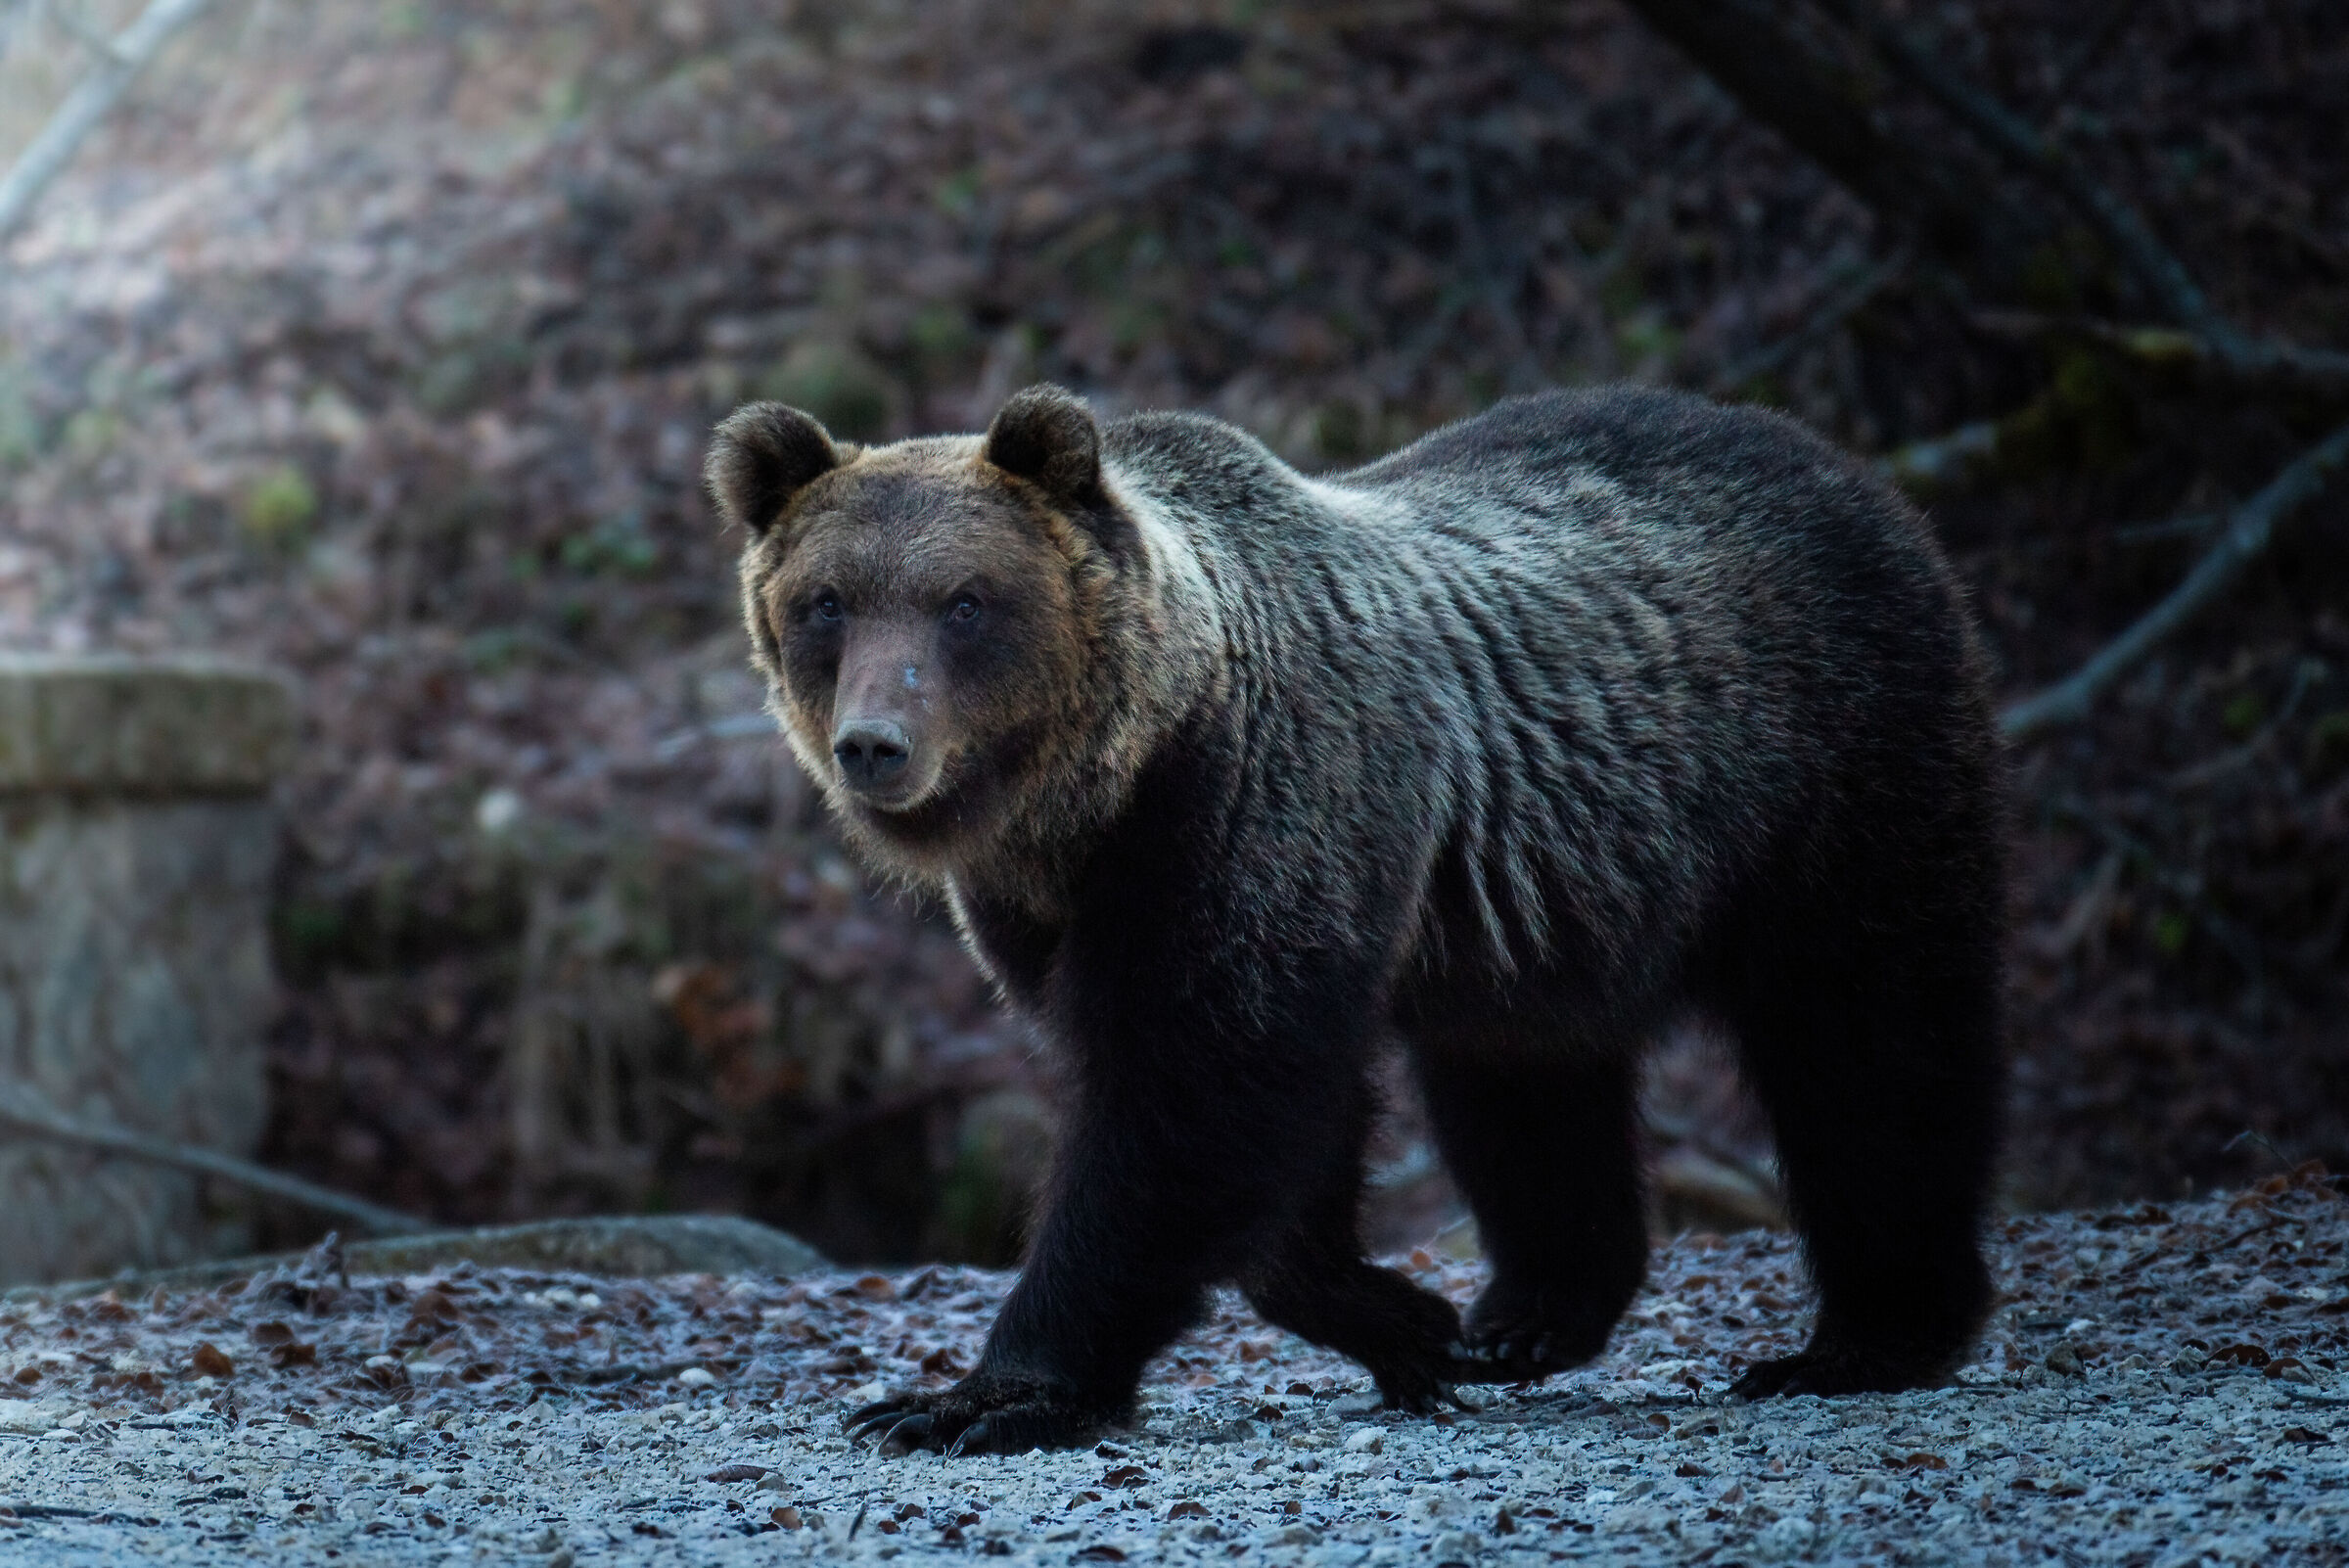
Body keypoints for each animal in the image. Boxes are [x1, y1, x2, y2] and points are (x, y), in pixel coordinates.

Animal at [705, 382, 2005, 1456]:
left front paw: (978, 1398)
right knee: (1526, 1078)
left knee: (1871, 1040)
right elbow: (1257, 1116)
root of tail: (1843, 468)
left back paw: (1866, 1338)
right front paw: (1410, 1324)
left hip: (1834, 777)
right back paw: (1531, 1315)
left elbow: (1192, 1095)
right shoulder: (1052, 903)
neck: (1109, 782)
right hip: (1549, 907)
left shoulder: (1256, 807)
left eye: (966, 602)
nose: (876, 745)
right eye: (825, 602)